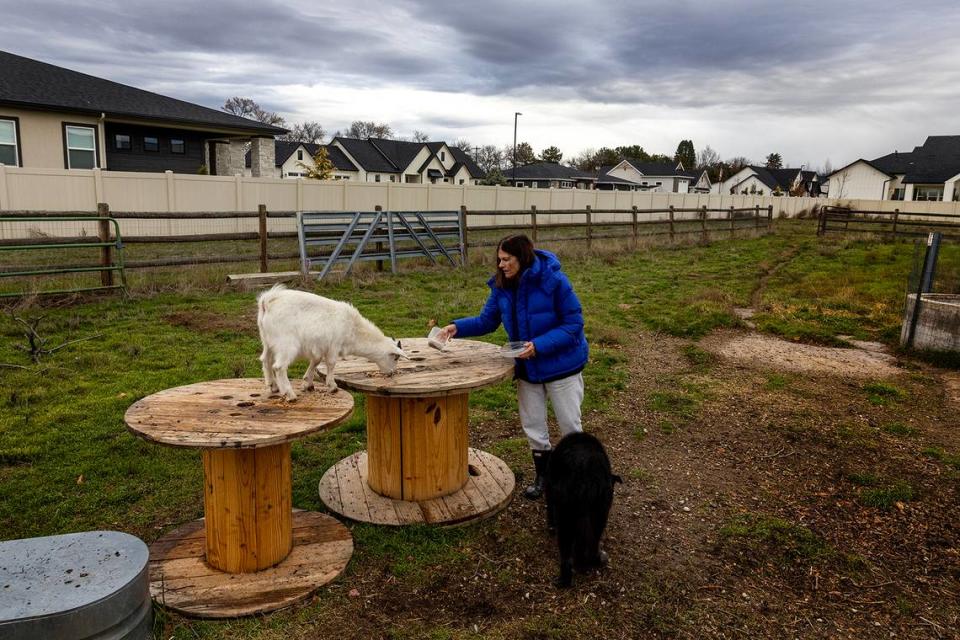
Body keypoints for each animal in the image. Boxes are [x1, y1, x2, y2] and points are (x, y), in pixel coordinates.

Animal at [255, 284, 404, 400]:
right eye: (395, 357)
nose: (391, 373)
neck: (353, 329)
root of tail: (267, 302)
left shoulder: (320, 347)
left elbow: (316, 360)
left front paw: (308, 383)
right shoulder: (334, 344)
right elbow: (331, 363)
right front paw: (332, 386)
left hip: (267, 341)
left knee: (266, 359)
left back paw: (273, 386)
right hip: (286, 344)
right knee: (279, 367)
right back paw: (289, 394)